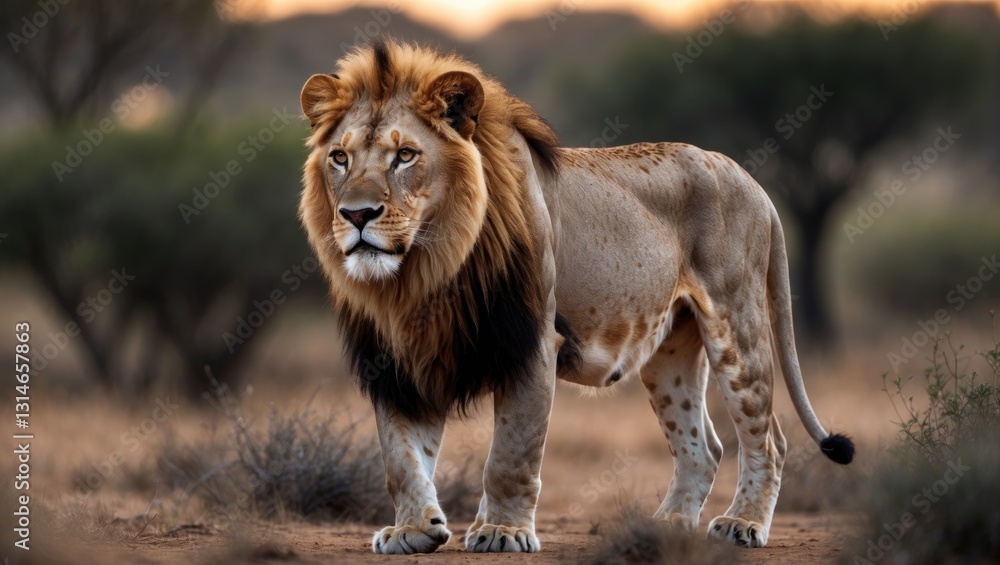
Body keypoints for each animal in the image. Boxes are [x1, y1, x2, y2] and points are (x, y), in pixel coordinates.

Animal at [298, 39, 854, 554]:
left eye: (405, 155)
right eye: (340, 158)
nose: (356, 215)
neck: (424, 274)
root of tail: (751, 180)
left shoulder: (533, 344)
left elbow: (511, 452)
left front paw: (502, 532)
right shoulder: (398, 360)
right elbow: (402, 456)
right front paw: (413, 530)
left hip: (736, 323)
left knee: (769, 439)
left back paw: (742, 524)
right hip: (670, 353)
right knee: (704, 447)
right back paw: (666, 527)